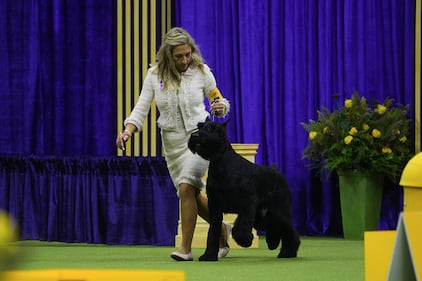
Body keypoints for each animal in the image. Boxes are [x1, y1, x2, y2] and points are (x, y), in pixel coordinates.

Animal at [188, 118, 300, 260]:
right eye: (199, 126)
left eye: (212, 128)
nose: (195, 136)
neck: (221, 162)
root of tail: (276, 170)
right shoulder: (215, 207)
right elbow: (212, 232)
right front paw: (209, 255)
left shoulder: (247, 204)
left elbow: (240, 227)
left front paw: (245, 240)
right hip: (262, 216)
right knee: (275, 227)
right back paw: (274, 243)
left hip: (280, 211)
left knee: (289, 231)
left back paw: (287, 252)